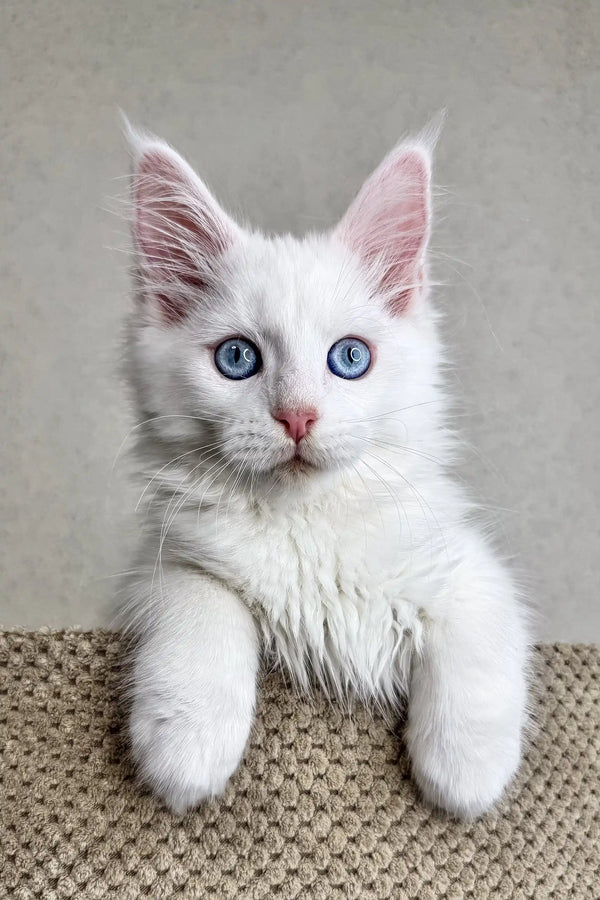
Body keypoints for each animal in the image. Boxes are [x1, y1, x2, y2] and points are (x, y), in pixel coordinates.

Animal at [120, 123, 528, 820]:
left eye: (350, 358)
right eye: (237, 359)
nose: (297, 417)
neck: (307, 523)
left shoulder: (467, 566)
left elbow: (478, 645)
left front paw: (463, 773)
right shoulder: (163, 563)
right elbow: (199, 605)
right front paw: (188, 746)